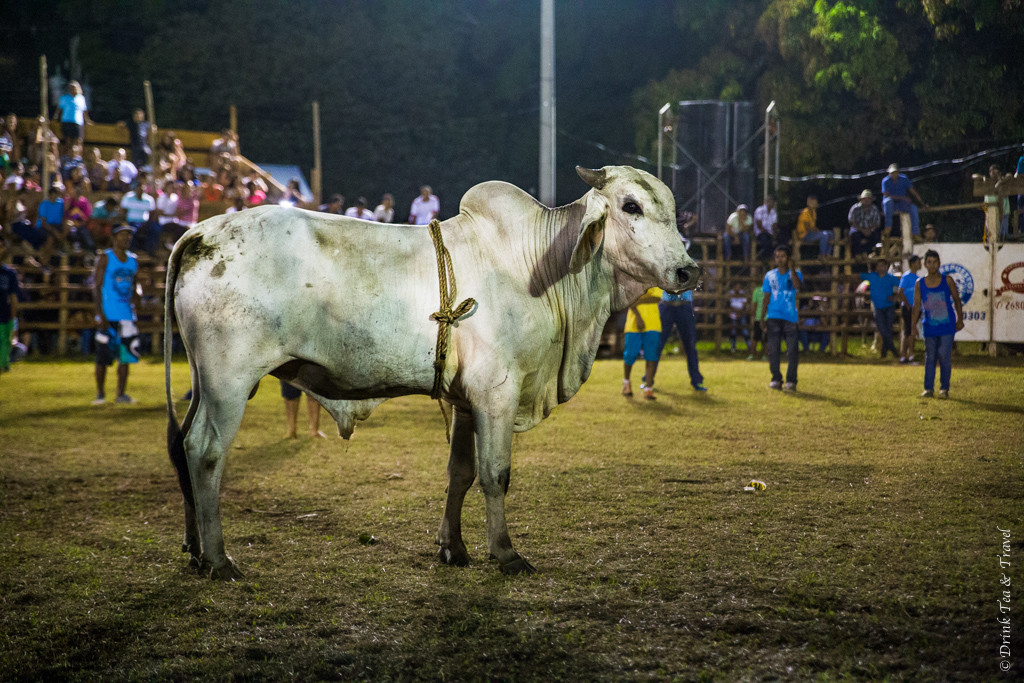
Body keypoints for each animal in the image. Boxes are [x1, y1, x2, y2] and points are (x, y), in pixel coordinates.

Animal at [163, 163, 700, 577]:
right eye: (630, 206)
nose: (688, 270)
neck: (540, 267)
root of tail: (199, 231)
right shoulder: (498, 393)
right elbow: (495, 474)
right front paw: (505, 554)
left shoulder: (465, 399)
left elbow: (460, 473)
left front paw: (453, 547)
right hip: (229, 383)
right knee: (205, 452)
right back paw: (218, 559)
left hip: (202, 383)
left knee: (181, 445)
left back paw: (194, 550)